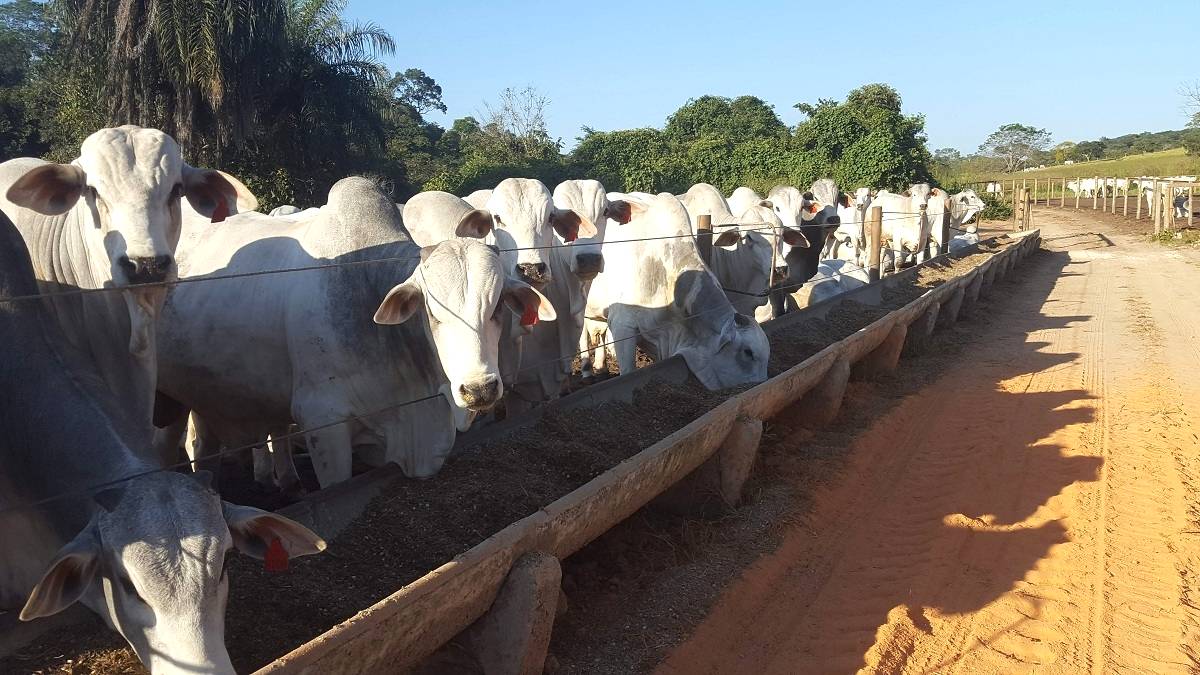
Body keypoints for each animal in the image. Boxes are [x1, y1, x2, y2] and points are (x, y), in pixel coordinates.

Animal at [580, 189, 768, 389]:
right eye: (748, 352)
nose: (762, 383)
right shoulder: (622, 324)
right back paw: (587, 372)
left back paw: (601, 367)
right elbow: (628, 370)